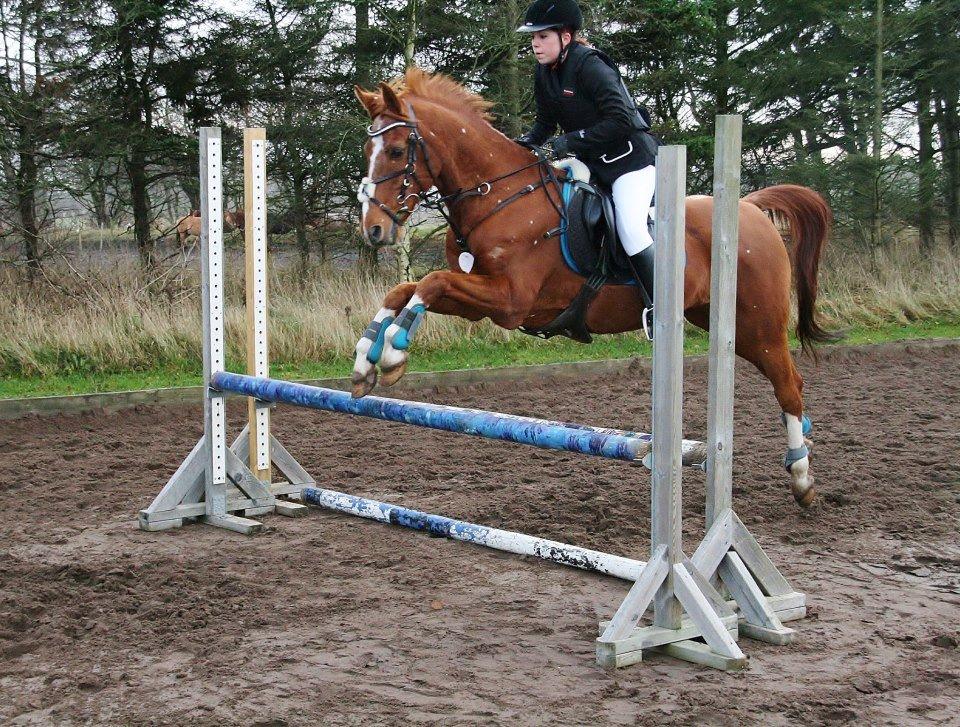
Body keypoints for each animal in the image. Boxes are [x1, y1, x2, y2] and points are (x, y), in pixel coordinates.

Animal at [348, 71, 836, 510]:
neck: (499, 196)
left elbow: (430, 282)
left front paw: (393, 353)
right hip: (718, 319)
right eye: (367, 150)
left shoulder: (510, 301)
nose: (373, 231)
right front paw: (365, 361)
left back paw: (802, 478)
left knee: (789, 384)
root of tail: (749, 207)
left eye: (396, 150)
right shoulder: (480, 300)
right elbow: (404, 290)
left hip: (757, 326)